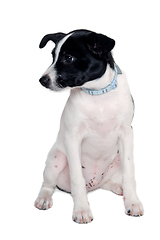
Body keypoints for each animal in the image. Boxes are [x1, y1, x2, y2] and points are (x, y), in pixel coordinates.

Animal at [34, 29, 144, 223]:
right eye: (53, 56)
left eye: (68, 58)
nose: (42, 80)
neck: (98, 94)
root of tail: (92, 185)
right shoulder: (73, 138)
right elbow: (77, 179)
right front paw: (82, 210)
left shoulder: (126, 134)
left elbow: (129, 173)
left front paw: (132, 202)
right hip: (57, 158)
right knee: (48, 184)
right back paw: (44, 199)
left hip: (116, 160)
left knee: (108, 182)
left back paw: (119, 187)